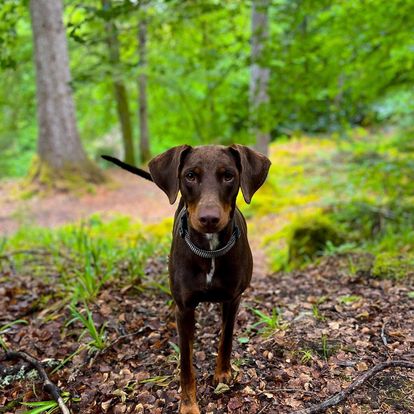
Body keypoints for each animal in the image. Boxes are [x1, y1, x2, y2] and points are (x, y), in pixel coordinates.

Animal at [103, 144, 270, 412]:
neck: (209, 251)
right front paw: (189, 405)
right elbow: (186, 364)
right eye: (190, 176)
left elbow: (226, 338)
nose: (209, 218)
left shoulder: (233, 299)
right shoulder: (183, 308)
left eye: (229, 176)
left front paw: (222, 373)